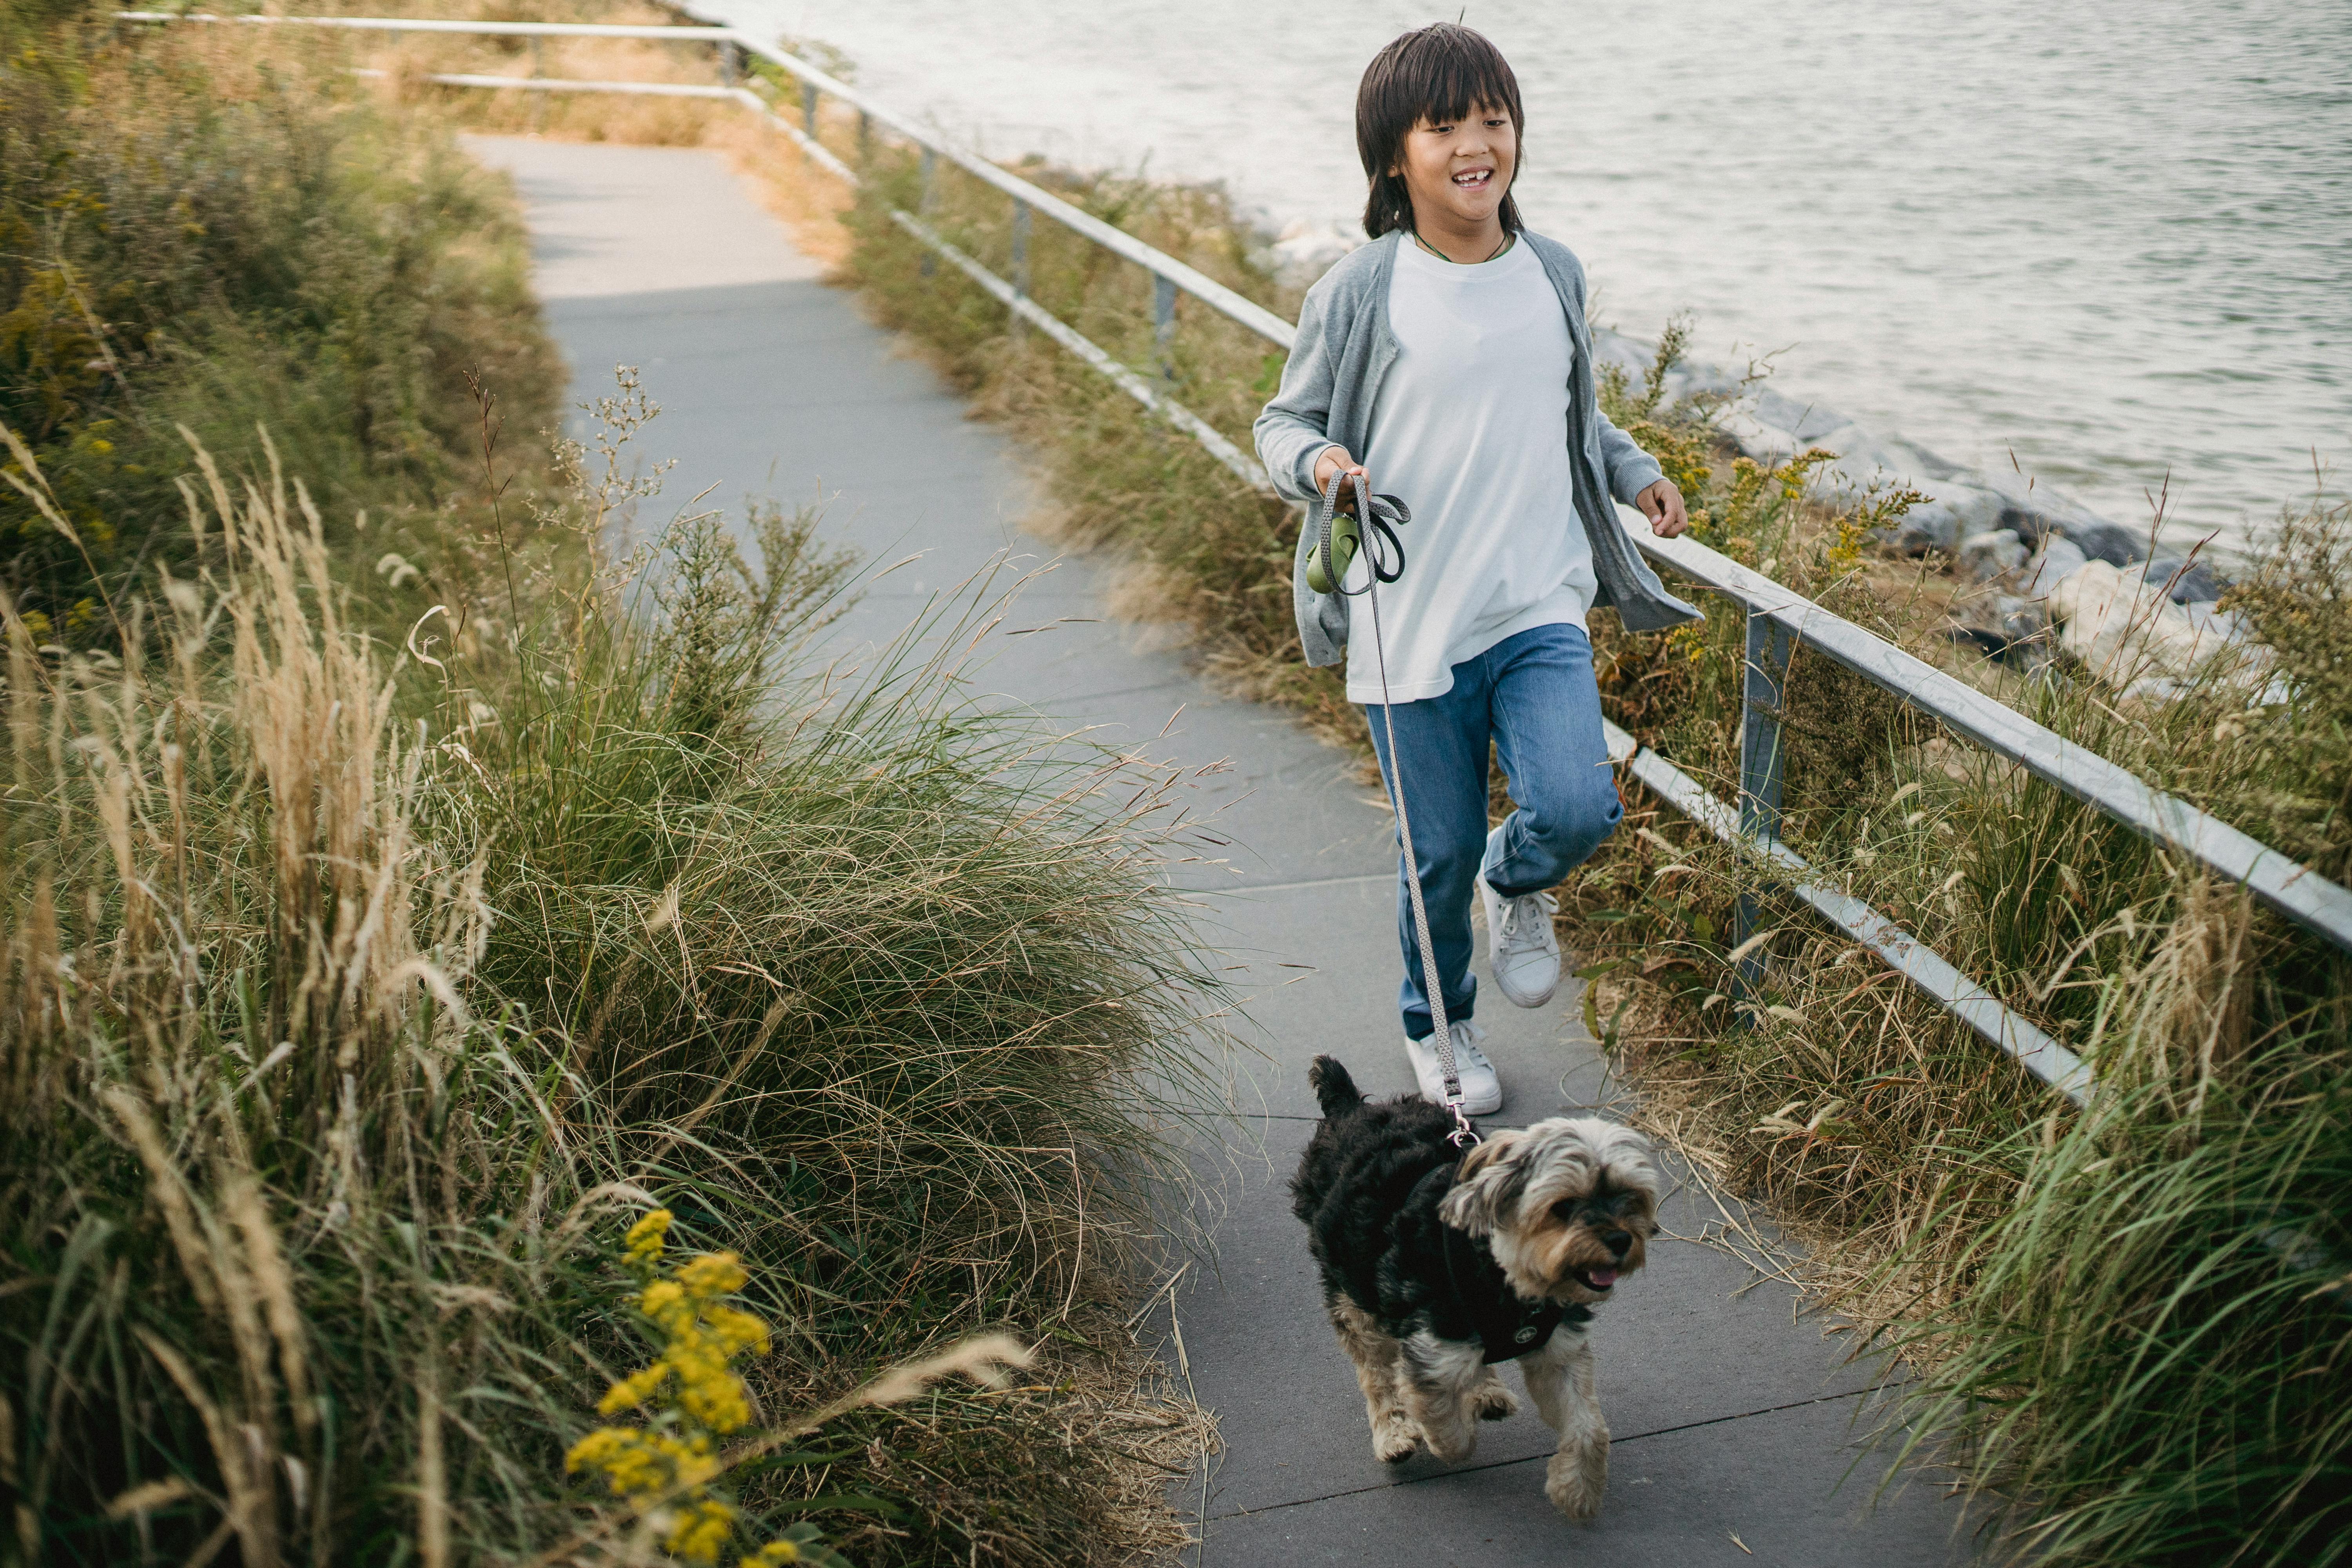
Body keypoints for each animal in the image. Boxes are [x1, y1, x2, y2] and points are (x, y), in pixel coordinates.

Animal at [1298, 1053, 1665, 1523]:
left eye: (1630, 1196)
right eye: (1562, 1206)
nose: (1621, 1240)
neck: (1502, 1272)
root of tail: (1348, 1108)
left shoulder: (1559, 1351)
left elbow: (1588, 1428)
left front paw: (1576, 1492)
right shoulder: (1433, 1350)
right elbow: (1443, 1421)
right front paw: (1445, 1440)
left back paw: (1487, 1391)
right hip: (1351, 1283)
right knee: (1375, 1371)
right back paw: (1394, 1431)